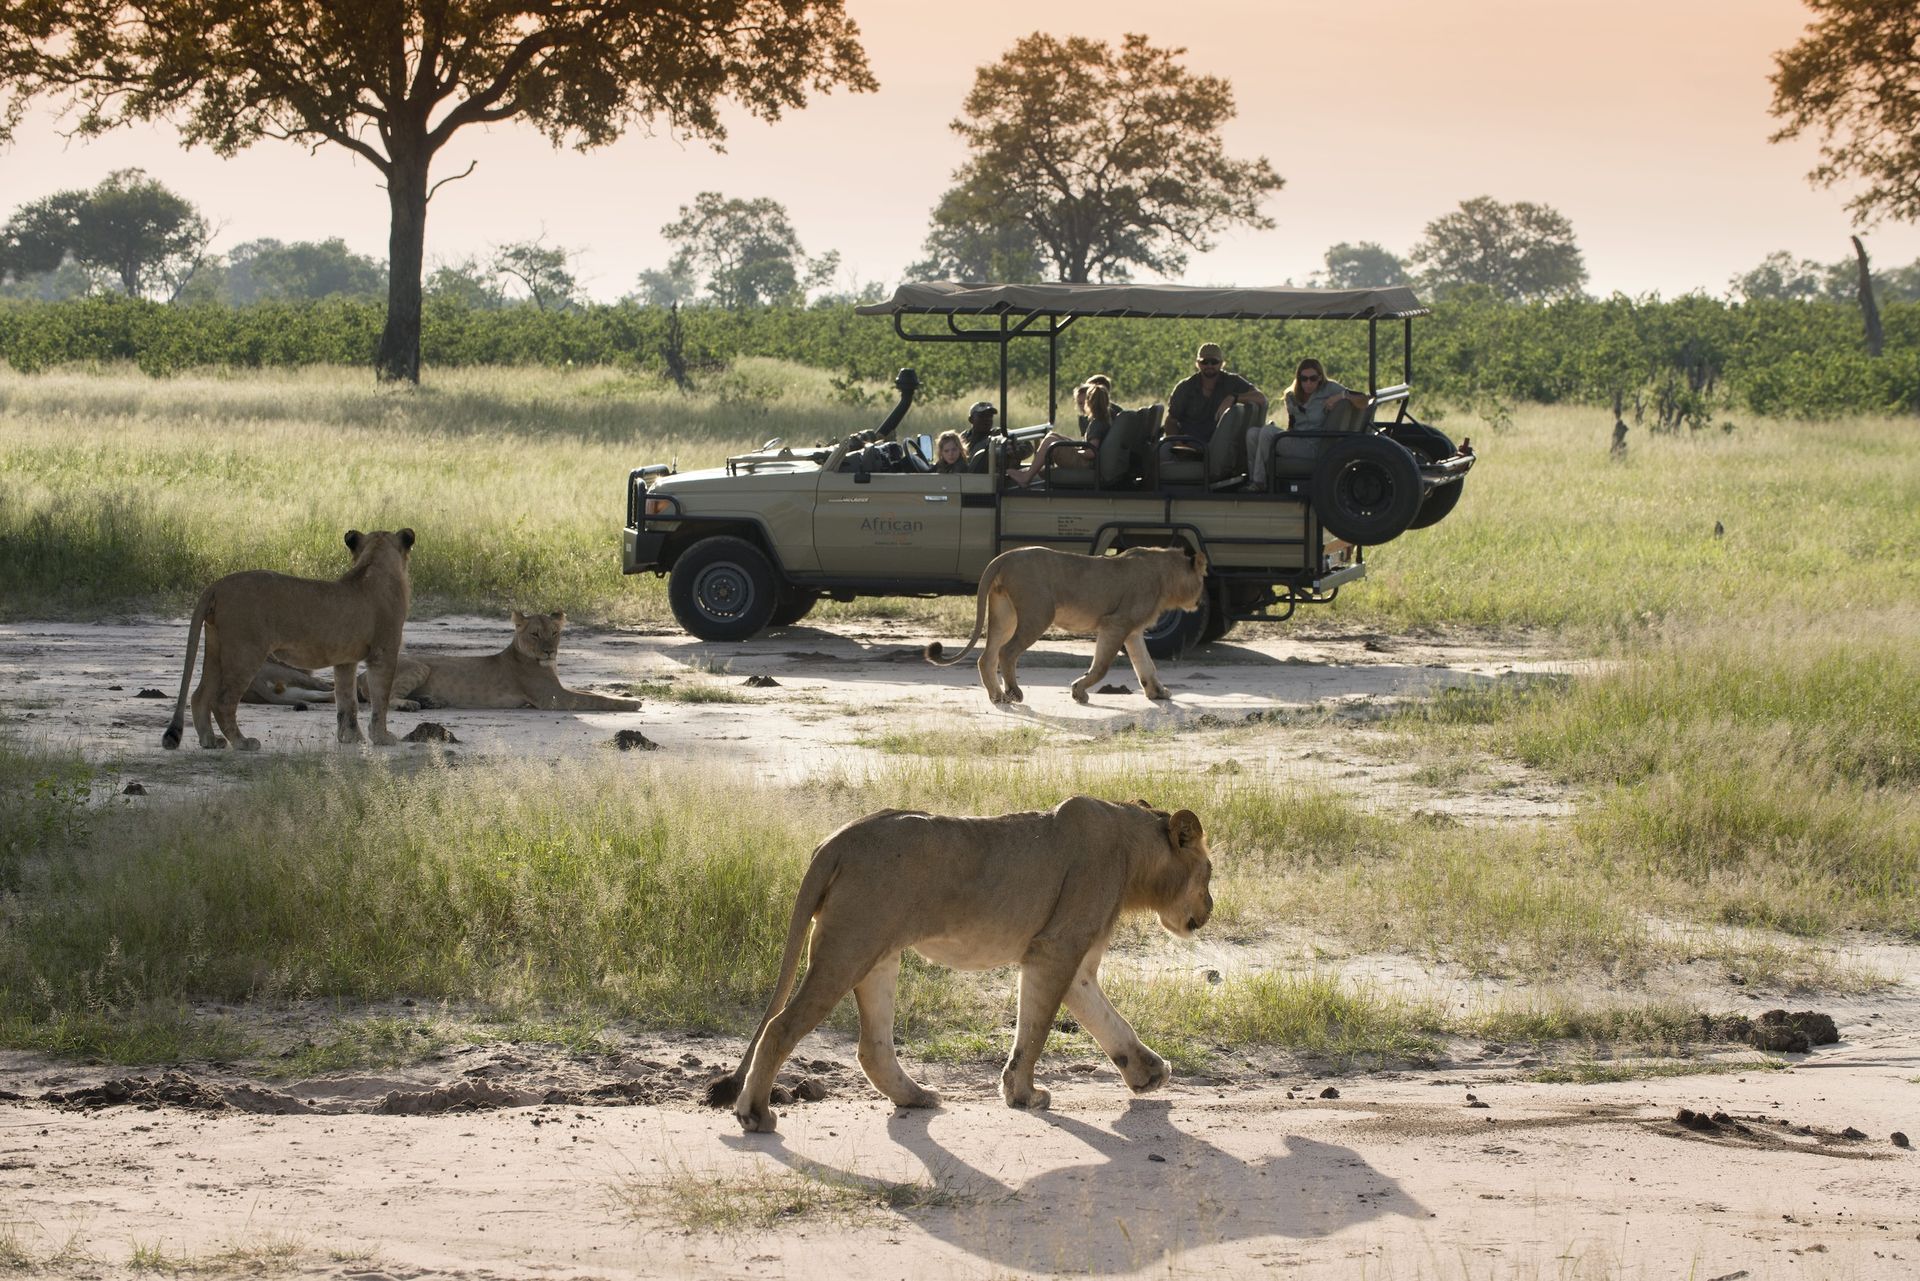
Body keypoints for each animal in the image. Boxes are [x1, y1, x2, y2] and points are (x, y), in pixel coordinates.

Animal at [160, 529, 414, 751]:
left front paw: (351, 738)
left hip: (216, 649)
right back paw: (243, 742)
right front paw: (382, 737)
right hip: (245, 651)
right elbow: (380, 698)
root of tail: (217, 585)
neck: (375, 562)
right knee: (223, 701)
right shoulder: (383, 653)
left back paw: (210, 741)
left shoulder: (345, 660)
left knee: (199, 696)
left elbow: (346, 701)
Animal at [355, 611, 639, 712]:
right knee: (384, 699)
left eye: (554, 633)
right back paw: (410, 705)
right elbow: (596, 699)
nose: (549, 651)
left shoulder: (559, 690)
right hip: (419, 665)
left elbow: (588, 692)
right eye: (535, 634)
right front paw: (632, 703)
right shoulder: (553, 698)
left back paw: (430, 701)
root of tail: (360, 675)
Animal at [704, 796, 1213, 1133]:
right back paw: (755, 1114)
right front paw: (1024, 1095)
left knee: (873, 1047)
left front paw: (1149, 1074)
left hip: (877, 954)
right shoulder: (1055, 948)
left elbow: (1108, 1021)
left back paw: (917, 1097)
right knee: (780, 1027)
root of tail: (835, 841)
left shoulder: (1074, 962)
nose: (1209, 910)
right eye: (1209, 873)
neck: (1133, 849)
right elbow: (1036, 1031)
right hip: (847, 948)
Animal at [926, 545, 1208, 704]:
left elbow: (1146, 665)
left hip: (1005, 614)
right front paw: (1078, 692)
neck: (1166, 575)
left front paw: (1158, 693)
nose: (1203, 600)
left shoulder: (1133, 630)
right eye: (1204, 578)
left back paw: (998, 696)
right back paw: (1014, 692)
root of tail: (1003, 557)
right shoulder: (1115, 623)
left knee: (987, 656)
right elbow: (1101, 667)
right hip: (1038, 613)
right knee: (1006, 652)